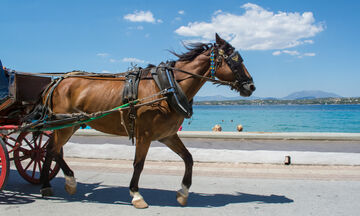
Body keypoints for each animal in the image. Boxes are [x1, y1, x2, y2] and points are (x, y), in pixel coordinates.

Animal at [40, 33, 256, 208]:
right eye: (235, 60)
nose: (251, 86)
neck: (167, 87)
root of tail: (58, 81)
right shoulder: (144, 135)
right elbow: (139, 164)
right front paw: (136, 194)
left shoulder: (167, 135)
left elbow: (188, 158)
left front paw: (183, 192)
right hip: (64, 126)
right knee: (54, 150)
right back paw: (70, 181)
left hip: (69, 125)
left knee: (48, 150)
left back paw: (45, 184)